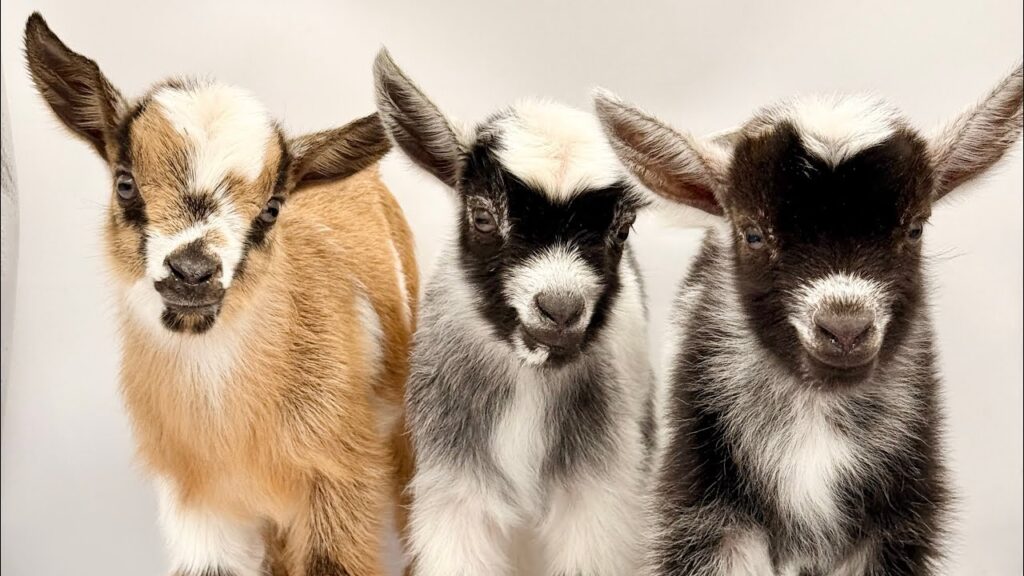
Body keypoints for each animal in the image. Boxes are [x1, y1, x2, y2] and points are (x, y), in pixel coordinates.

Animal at [373, 49, 655, 576]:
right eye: (483, 216)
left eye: (623, 228)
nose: (560, 309)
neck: (530, 381)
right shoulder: (454, 490)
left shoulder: (599, 496)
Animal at [596, 64, 1023, 575]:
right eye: (752, 233)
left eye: (915, 228)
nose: (845, 327)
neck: (815, 416)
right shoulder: (702, 507)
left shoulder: (901, 520)